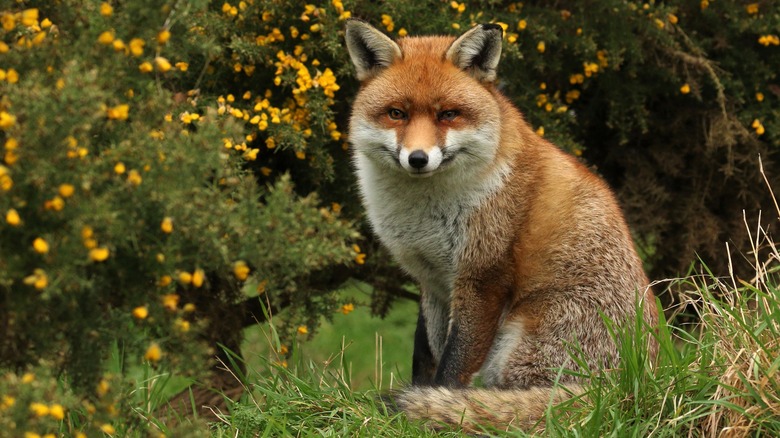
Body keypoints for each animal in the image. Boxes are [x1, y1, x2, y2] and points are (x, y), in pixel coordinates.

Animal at [346, 19, 660, 432]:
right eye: (396, 113)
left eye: (449, 114)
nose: (417, 159)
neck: (422, 214)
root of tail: (633, 385)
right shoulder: (432, 281)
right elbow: (424, 355)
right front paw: (419, 401)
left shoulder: (483, 278)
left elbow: (453, 367)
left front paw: (434, 407)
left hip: (517, 346)